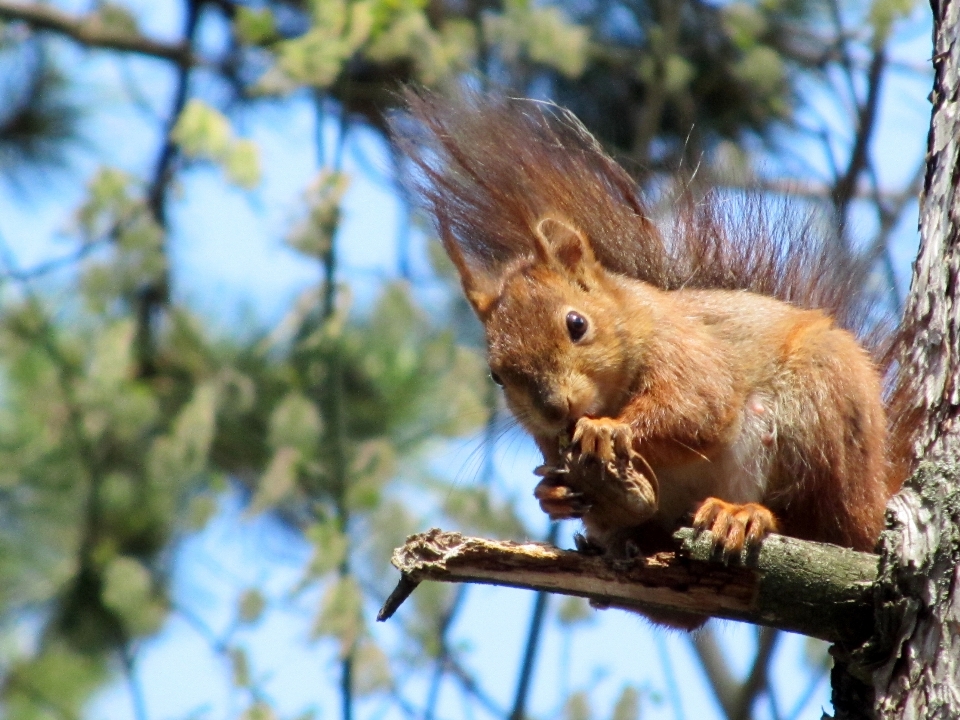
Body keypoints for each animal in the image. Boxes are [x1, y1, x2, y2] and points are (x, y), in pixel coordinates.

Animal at [396, 88, 916, 564]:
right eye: (497, 375)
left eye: (576, 324)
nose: (555, 409)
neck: (634, 319)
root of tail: (875, 500)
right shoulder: (547, 441)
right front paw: (552, 494)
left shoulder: (685, 349)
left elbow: (694, 408)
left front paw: (608, 428)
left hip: (819, 409)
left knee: (821, 527)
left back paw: (742, 514)